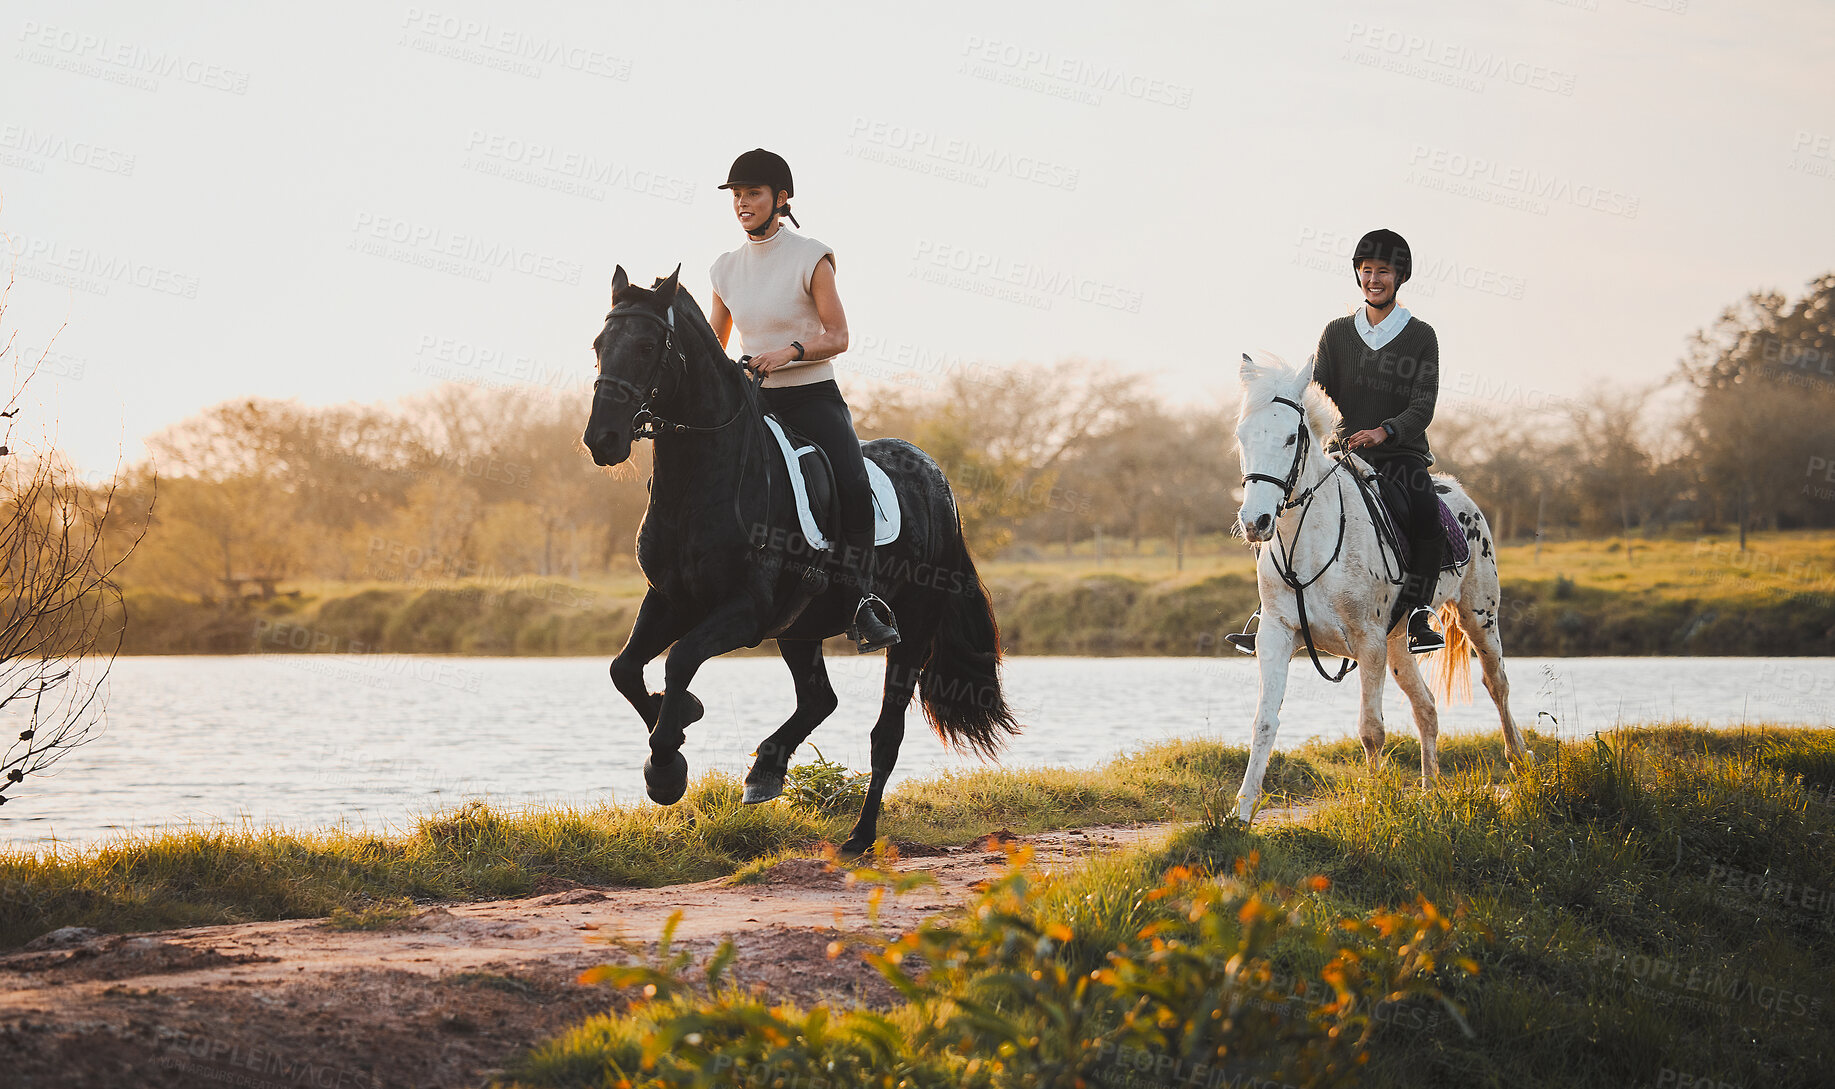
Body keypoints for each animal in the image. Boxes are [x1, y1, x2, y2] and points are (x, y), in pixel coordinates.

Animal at [583, 268, 1020, 852]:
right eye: (599, 346)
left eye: (649, 346)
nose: (602, 439)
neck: (702, 480)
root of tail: (938, 480)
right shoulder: (670, 599)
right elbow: (624, 668)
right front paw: (677, 727)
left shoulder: (745, 611)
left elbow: (679, 660)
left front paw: (666, 769)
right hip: (800, 628)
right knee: (820, 700)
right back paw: (765, 771)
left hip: (911, 628)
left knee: (886, 733)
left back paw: (859, 836)